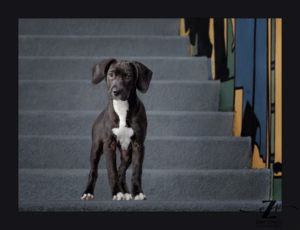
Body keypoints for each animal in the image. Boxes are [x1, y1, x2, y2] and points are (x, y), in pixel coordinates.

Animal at [80, 58, 152, 200]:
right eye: (111, 74)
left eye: (128, 76)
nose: (116, 92)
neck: (121, 107)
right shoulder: (109, 145)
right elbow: (111, 171)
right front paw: (117, 192)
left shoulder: (138, 145)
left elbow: (136, 171)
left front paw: (137, 192)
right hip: (96, 148)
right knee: (93, 171)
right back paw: (88, 192)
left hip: (127, 153)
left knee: (121, 171)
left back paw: (127, 193)